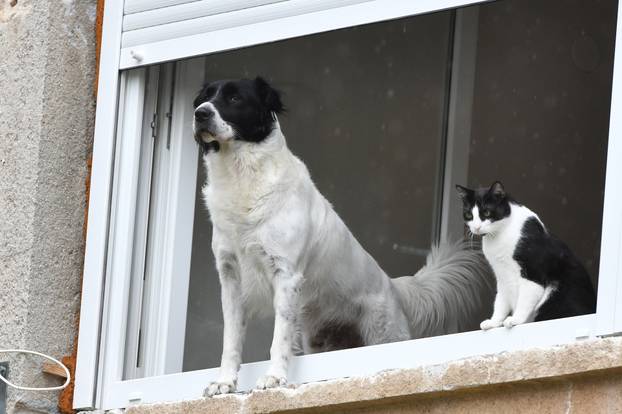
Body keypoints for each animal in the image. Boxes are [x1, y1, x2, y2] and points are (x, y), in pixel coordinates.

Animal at [193, 76, 494, 396]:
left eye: (234, 98)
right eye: (205, 98)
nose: (199, 113)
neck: (242, 177)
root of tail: (392, 285)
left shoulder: (285, 273)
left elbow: (279, 338)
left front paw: (274, 378)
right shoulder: (231, 278)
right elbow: (231, 339)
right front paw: (225, 382)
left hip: (383, 336)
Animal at [456, 181, 596, 330]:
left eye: (487, 212)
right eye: (469, 215)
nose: (476, 227)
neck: (499, 235)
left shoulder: (533, 272)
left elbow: (524, 300)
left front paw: (515, 319)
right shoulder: (502, 275)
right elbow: (500, 302)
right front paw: (493, 322)